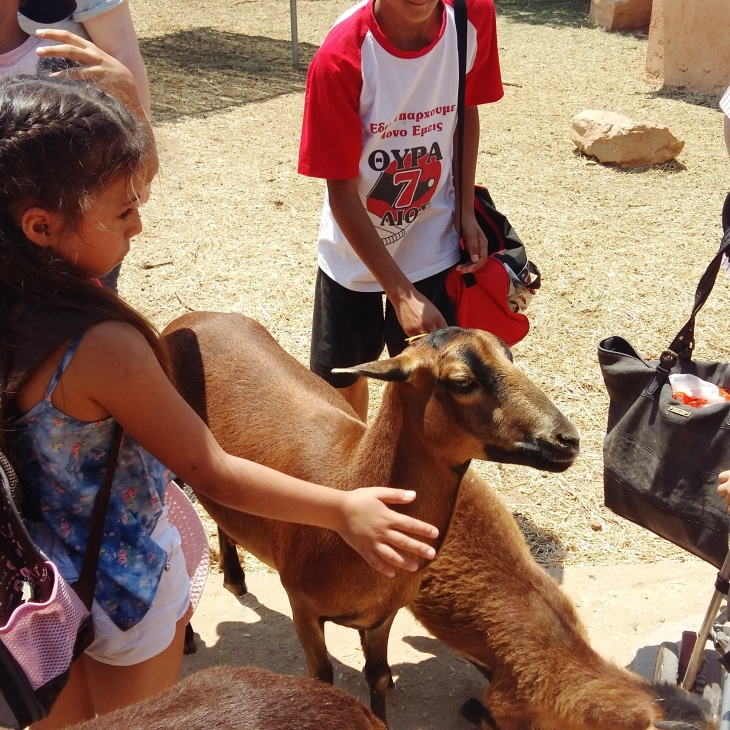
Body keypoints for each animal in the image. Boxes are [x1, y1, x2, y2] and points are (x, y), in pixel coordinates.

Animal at [162, 310, 576, 720]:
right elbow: (322, 678)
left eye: (509, 356)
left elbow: (376, 675)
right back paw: (186, 633)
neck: (353, 477)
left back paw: (235, 579)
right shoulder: (302, 605)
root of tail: (192, 318)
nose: (568, 440)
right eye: (461, 381)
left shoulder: (382, 616)